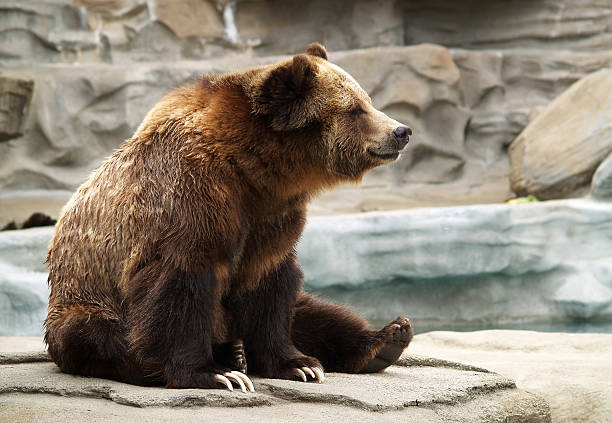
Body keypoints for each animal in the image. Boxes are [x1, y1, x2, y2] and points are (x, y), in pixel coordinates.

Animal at [45, 42, 414, 390]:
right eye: (356, 109)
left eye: (367, 101)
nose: (402, 131)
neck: (254, 169)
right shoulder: (193, 198)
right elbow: (181, 284)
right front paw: (214, 374)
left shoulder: (270, 219)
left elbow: (271, 287)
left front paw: (299, 364)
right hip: (85, 301)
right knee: (99, 335)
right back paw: (215, 357)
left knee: (316, 313)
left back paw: (386, 338)